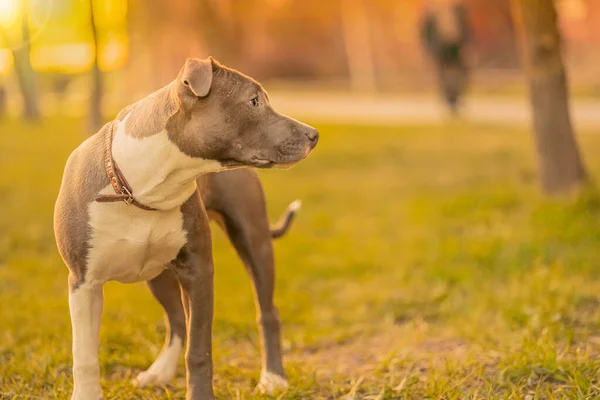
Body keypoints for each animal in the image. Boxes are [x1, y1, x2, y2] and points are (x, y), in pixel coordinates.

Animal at [54, 57, 318, 400]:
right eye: (254, 101)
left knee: (267, 312)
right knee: (177, 320)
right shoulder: (83, 282)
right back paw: (160, 372)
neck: (142, 189)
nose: (314, 134)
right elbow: (84, 354)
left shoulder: (198, 271)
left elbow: (199, 350)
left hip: (253, 239)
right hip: (157, 274)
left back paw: (273, 378)